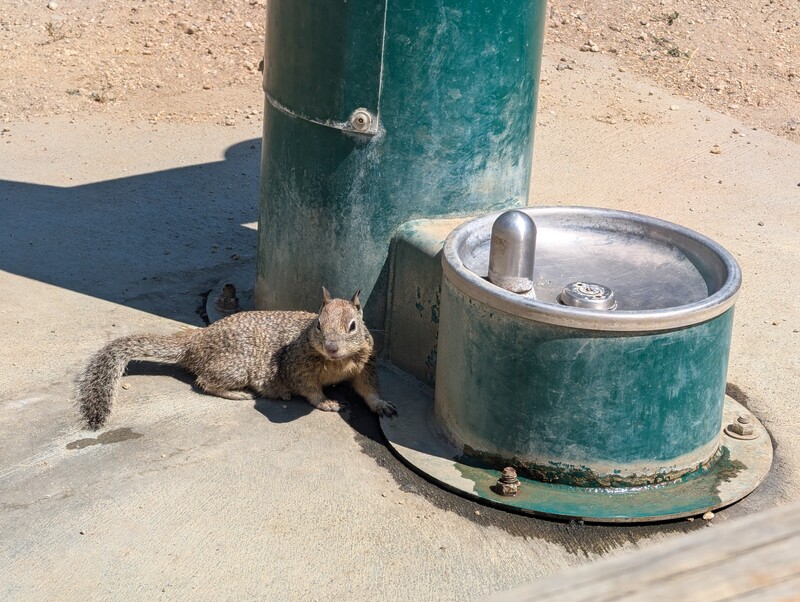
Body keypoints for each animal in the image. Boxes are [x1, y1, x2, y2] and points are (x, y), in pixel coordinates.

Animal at [76, 287, 397, 429]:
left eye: (353, 326)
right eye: (318, 324)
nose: (331, 347)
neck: (336, 362)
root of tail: (196, 341)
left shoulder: (365, 364)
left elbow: (368, 388)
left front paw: (381, 405)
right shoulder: (298, 366)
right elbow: (309, 389)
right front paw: (327, 402)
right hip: (236, 367)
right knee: (204, 381)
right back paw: (239, 394)